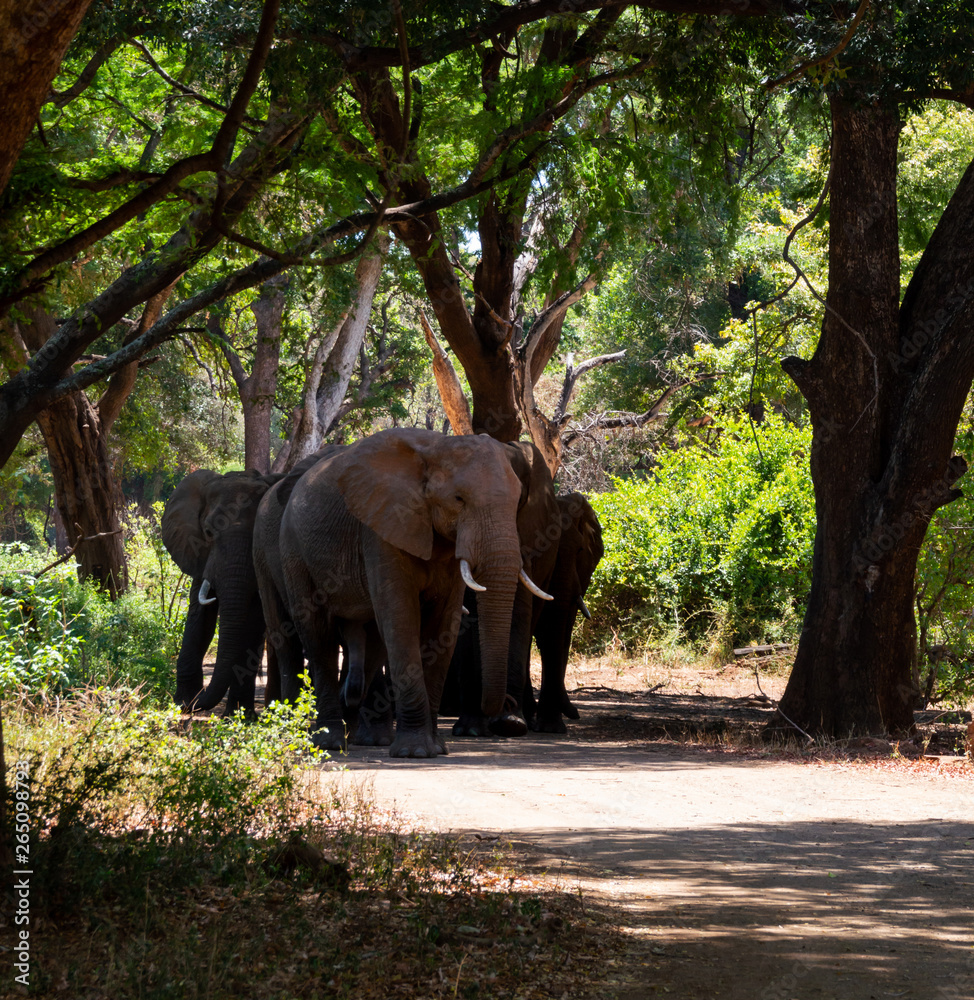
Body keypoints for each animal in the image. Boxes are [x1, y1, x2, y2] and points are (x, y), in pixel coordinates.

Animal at [161, 469, 281, 716]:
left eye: (257, 534)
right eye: (208, 532)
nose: (194, 701)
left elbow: (252, 622)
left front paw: (239, 717)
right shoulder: (199, 555)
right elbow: (200, 617)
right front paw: (181, 703)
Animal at [276, 427, 543, 758]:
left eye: (518, 502)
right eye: (458, 499)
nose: (505, 710)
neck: (437, 448)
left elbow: (444, 624)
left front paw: (437, 748)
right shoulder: (382, 526)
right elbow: (401, 617)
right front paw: (414, 752)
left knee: (372, 642)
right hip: (294, 551)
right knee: (318, 636)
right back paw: (330, 743)